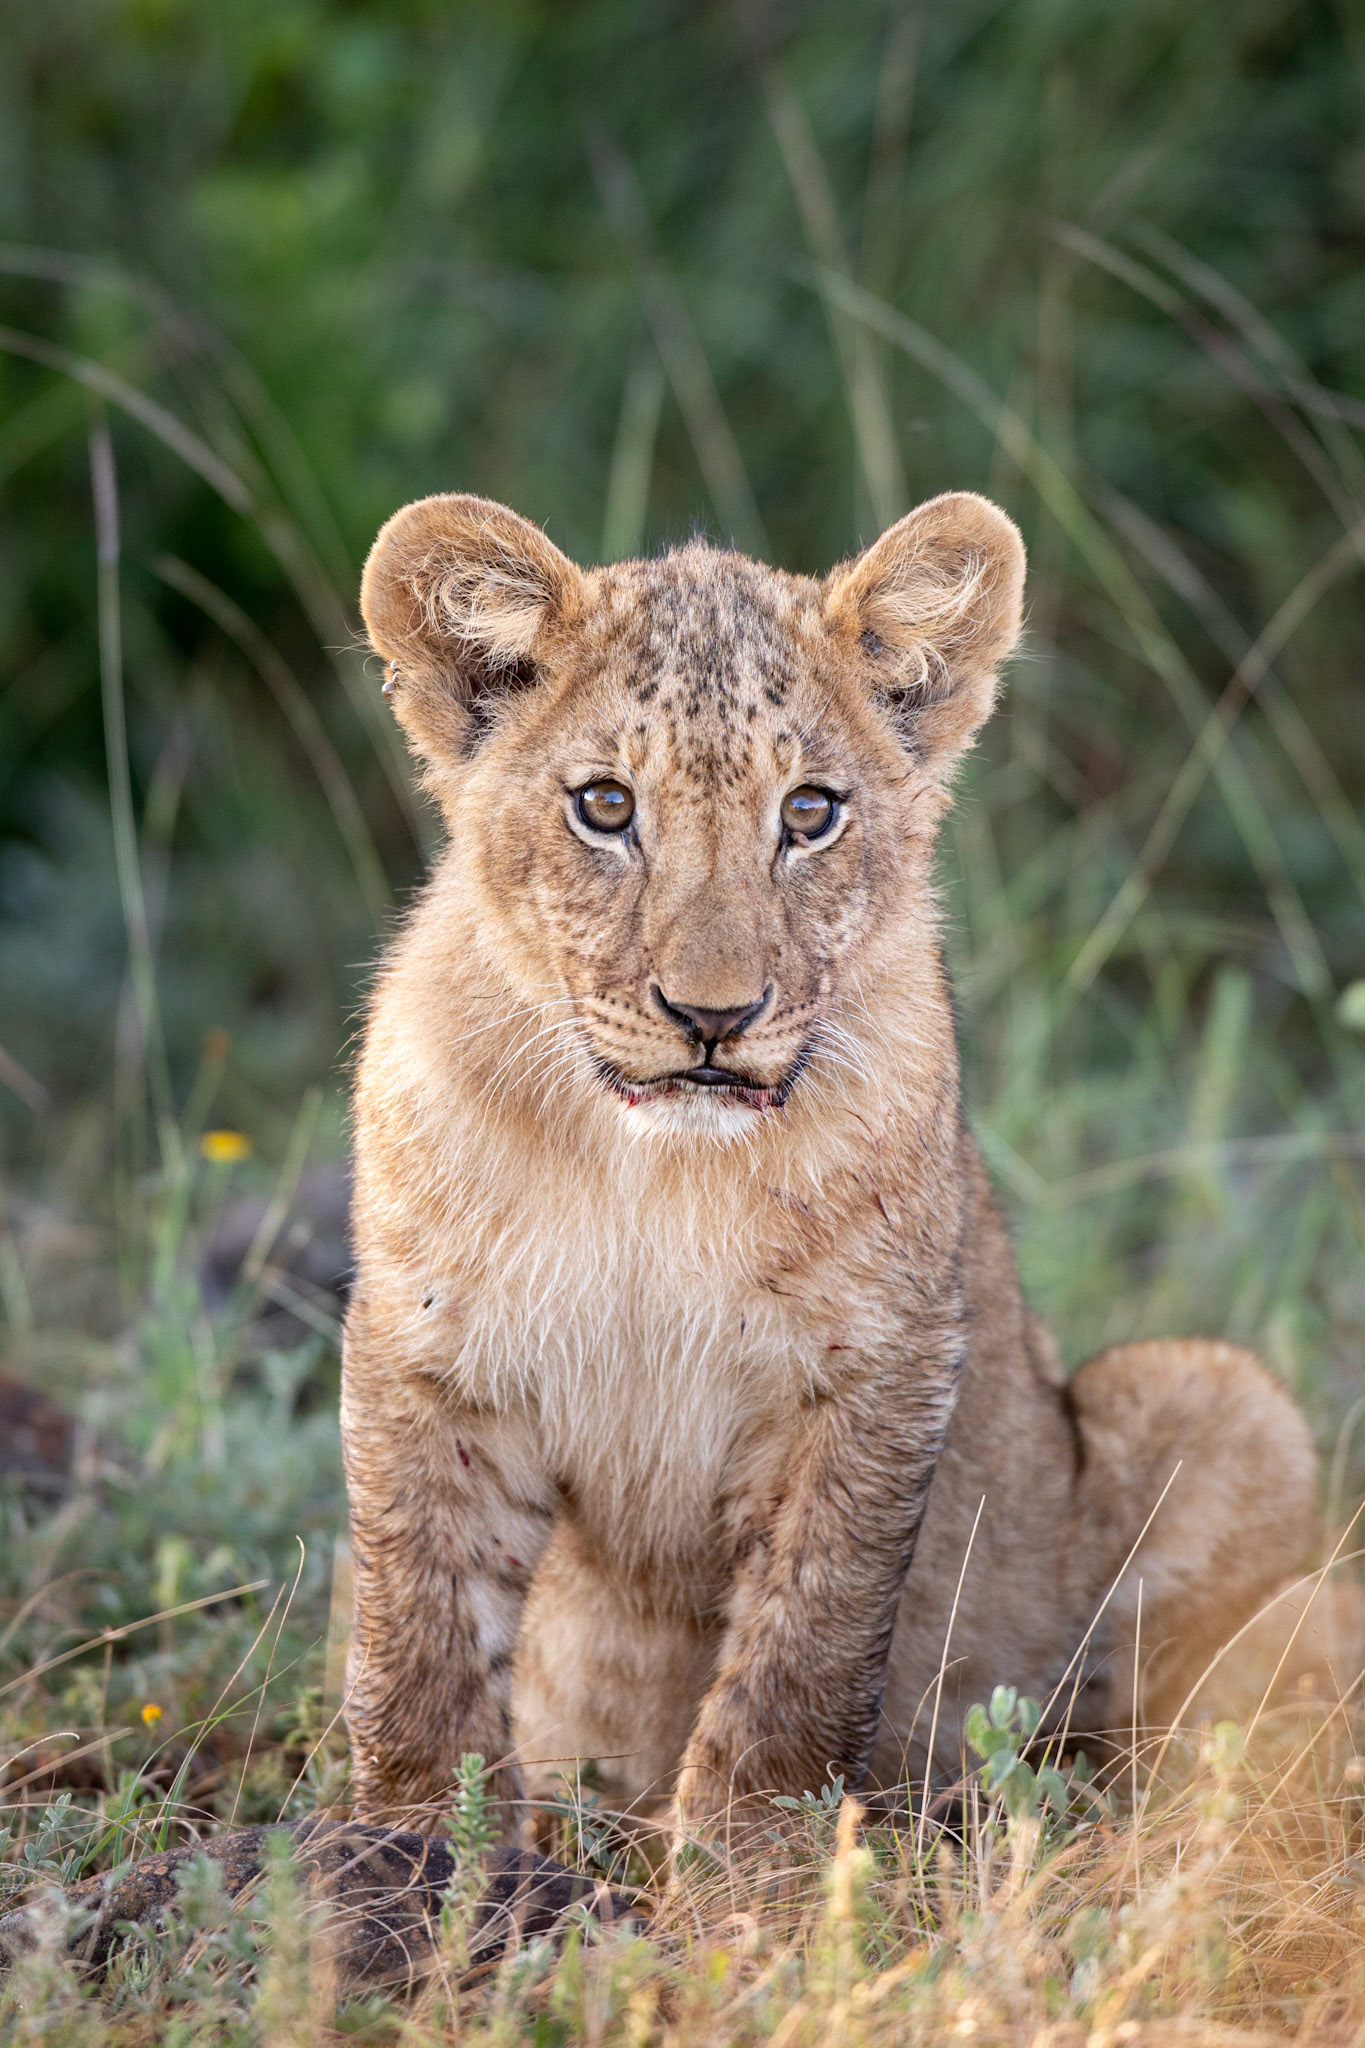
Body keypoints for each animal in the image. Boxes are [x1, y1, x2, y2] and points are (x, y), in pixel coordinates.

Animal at [341, 488, 1321, 1841]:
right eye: (605, 806)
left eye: (809, 813)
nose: (712, 1015)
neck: (652, 1170)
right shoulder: (430, 1350)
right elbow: (418, 1628)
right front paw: (412, 1851)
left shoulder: (874, 1371)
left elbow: (802, 1648)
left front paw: (754, 1868)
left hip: (1224, 1399)